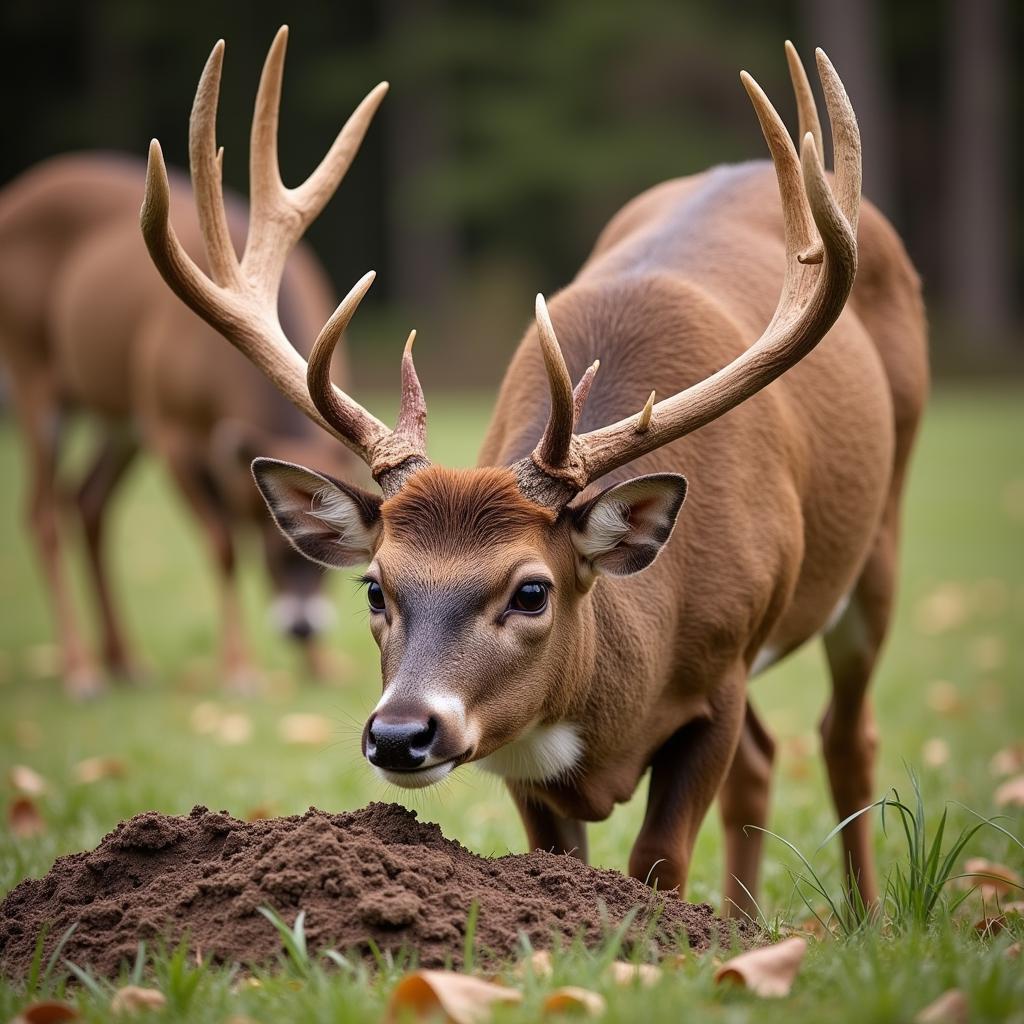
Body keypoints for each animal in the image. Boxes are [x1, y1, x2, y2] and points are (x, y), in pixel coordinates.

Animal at [0, 138, 380, 696]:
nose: (302, 627)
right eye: (269, 541)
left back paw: (125, 662)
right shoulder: (171, 430)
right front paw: (240, 671)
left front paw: (321, 669)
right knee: (42, 510)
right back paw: (80, 671)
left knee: (87, 500)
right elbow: (223, 545)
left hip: (120, 416)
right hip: (33, 372)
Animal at [140, 28, 933, 917]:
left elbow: (660, 858)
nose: (401, 733)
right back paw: (744, 922)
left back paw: (864, 919)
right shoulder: (523, 754)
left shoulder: (725, 663)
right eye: (375, 588)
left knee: (846, 735)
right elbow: (564, 856)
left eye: (531, 591)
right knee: (765, 760)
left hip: (879, 537)